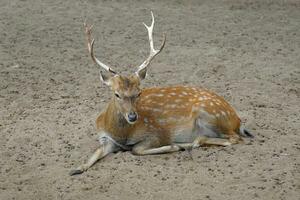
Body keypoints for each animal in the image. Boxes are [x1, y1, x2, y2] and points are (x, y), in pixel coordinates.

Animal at [68, 12, 253, 175]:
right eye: (116, 94)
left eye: (139, 92)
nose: (133, 117)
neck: (120, 135)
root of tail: (237, 120)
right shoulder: (105, 139)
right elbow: (95, 153)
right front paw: (76, 169)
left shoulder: (156, 133)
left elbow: (136, 149)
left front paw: (174, 146)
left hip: (211, 114)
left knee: (235, 139)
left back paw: (190, 144)